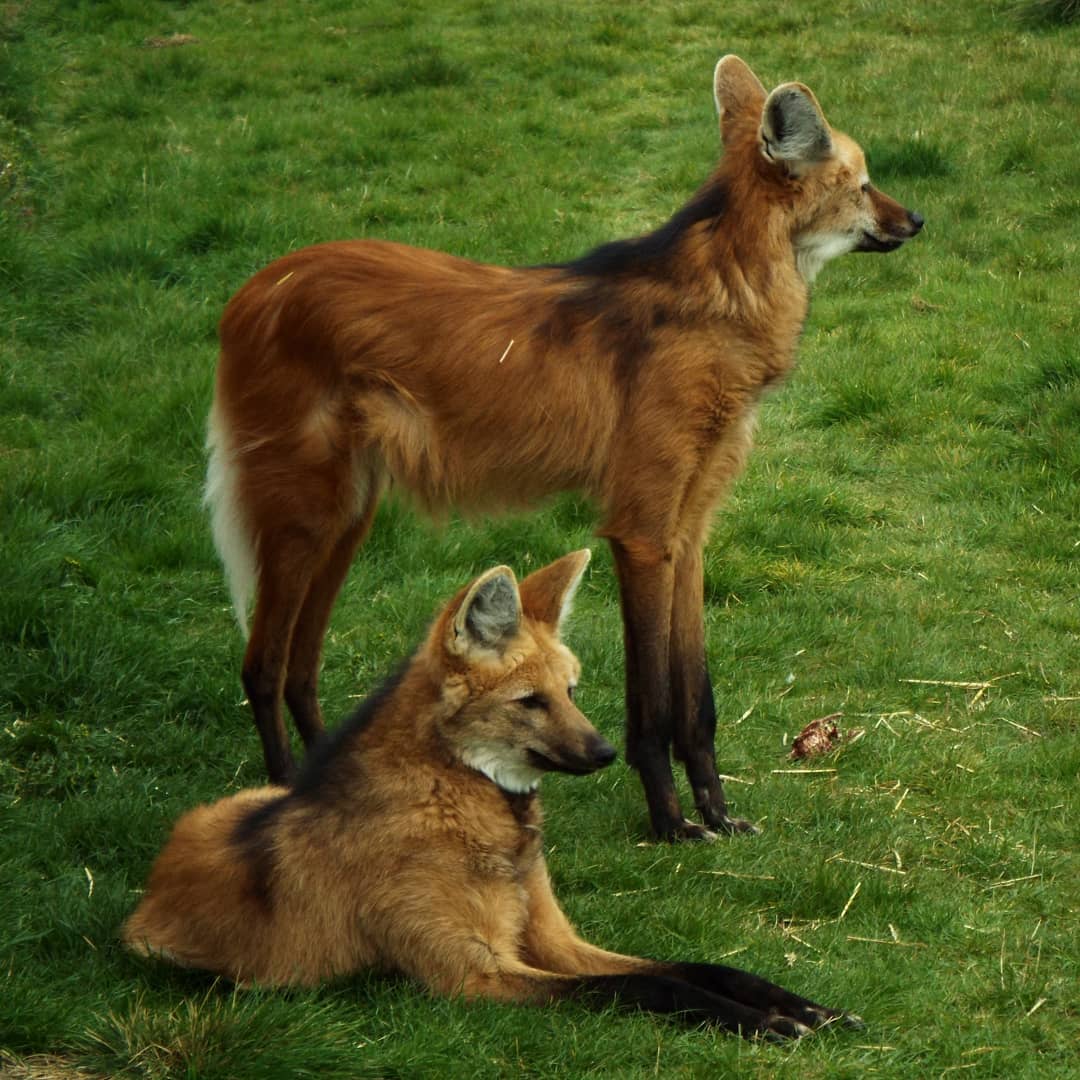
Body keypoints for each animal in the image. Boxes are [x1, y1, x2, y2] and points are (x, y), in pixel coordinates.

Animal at [205, 55, 922, 839]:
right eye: (863, 183)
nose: (916, 220)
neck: (722, 304)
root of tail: (248, 292)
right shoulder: (641, 532)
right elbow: (653, 704)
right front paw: (671, 825)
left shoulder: (687, 532)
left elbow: (696, 697)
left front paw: (719, 816)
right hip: (307, 516)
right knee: (262, 665)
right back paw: (283, 792)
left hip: (347, 519)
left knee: (301, 666)